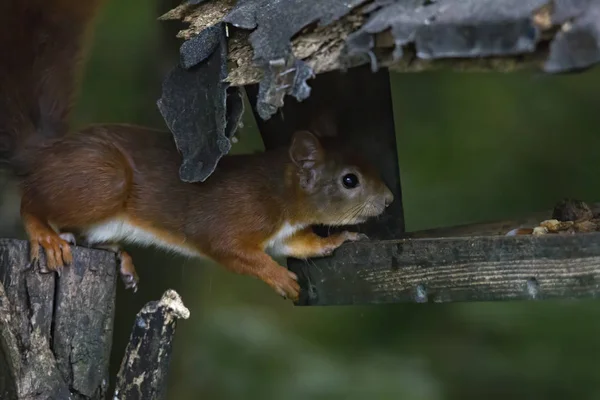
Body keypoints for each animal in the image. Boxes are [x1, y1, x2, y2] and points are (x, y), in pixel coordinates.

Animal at [1, 0, 394, 300]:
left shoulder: (284, 234)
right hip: (103, 180)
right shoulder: (230, 219)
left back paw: (119, 257)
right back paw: (44, 235)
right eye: (349, 180)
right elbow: (235, 252)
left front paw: (337, 240)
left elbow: (301, 244)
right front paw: (280, 278)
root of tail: (43, 153)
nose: (389, 199)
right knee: (31, 202)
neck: (278, 193)